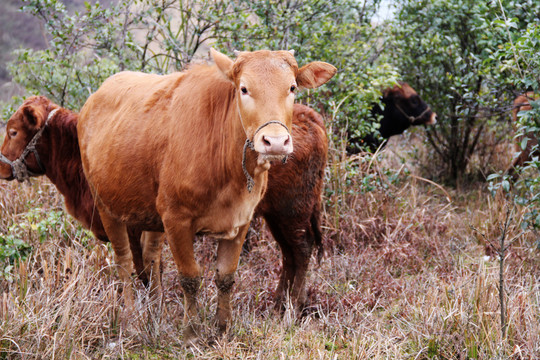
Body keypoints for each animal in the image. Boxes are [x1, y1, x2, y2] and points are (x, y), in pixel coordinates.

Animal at [78, 48, 336, 340]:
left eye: (292, 87)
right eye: (244, 88)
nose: (276, 142)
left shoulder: (241, 221)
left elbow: (225, 276)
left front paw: (222, 327)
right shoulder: (176, 220)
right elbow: (189, 277)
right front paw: (191, 330)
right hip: (106, 208)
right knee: (124, 262)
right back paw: (132, 316)